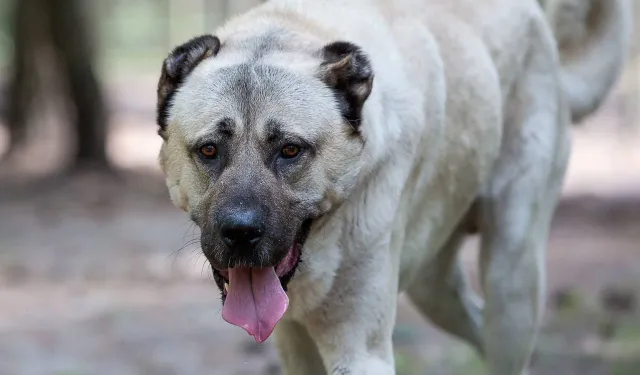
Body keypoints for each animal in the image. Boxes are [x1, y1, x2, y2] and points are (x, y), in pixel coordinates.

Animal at [155, 0, 632, 375]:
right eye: (210, 150)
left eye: (290, 149)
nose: (240, 232)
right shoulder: (294, 340)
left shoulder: (361, 351)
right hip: (436, 290)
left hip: (512, 279)